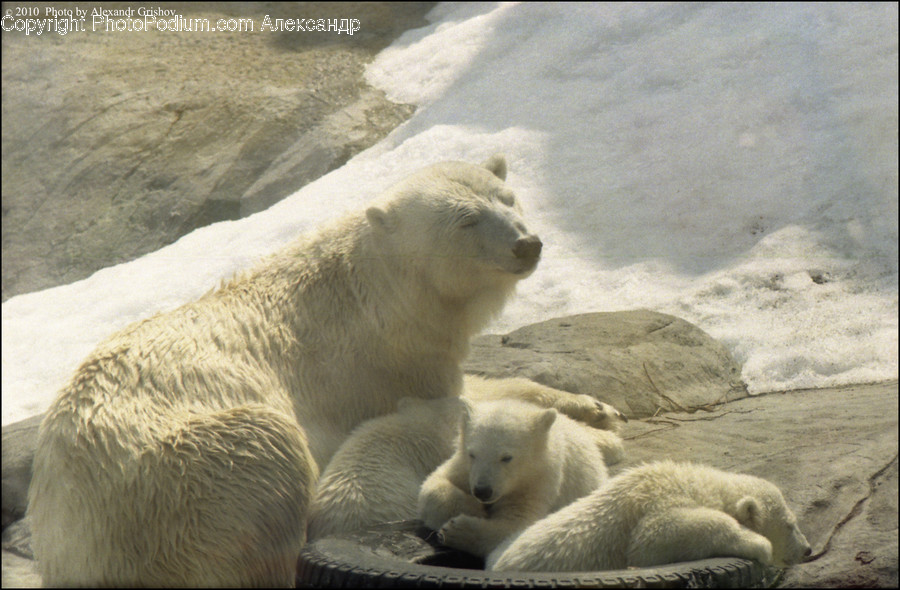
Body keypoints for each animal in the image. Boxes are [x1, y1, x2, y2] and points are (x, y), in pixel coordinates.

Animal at [27, 155, 542, 587]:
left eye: (507, 199)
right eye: (466, 220)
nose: (527, 243)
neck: (374, 289)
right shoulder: (392, 359)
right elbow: (462, 402)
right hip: (193, 480)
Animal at [418, 397, 616, 558]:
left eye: (506, 457)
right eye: (472, 454)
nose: (482, 491)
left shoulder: (539, 481)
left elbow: (518, 525)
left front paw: (457, 530)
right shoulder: (463, 467)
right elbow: (434, 484)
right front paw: (472, 507)